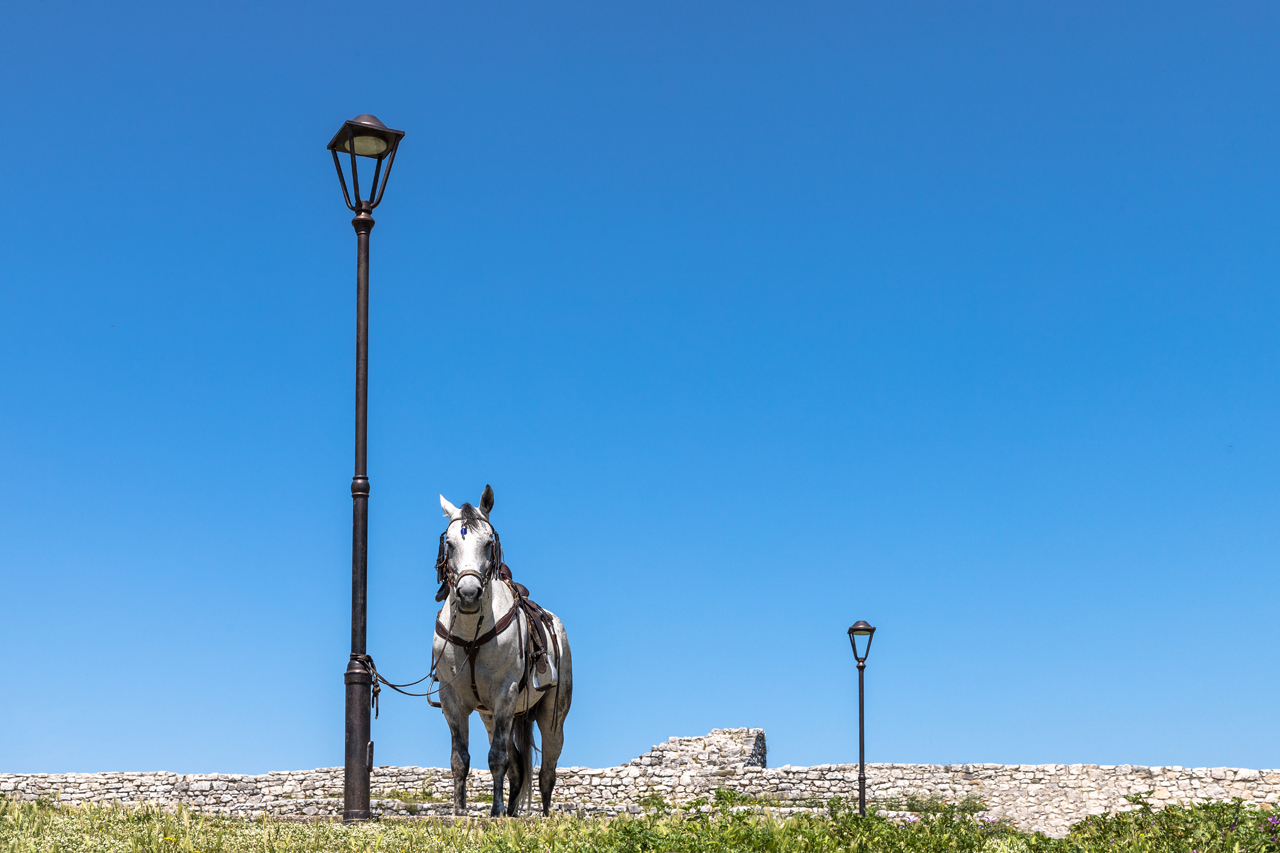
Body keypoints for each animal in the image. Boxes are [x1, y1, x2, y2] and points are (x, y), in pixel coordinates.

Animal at [432, 481, 573, 814]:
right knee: (518, 768)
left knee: (547, 770)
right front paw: (460, 811)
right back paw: (511, 813)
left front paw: (495, 812)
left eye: (487, 544)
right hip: (491, 716)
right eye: (450, 545)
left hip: (551, 716)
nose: (468, 594)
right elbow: (460, 759)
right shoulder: (452, 700)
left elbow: (497, 758)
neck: (472, 635)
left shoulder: (505, 695)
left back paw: (543, 816)